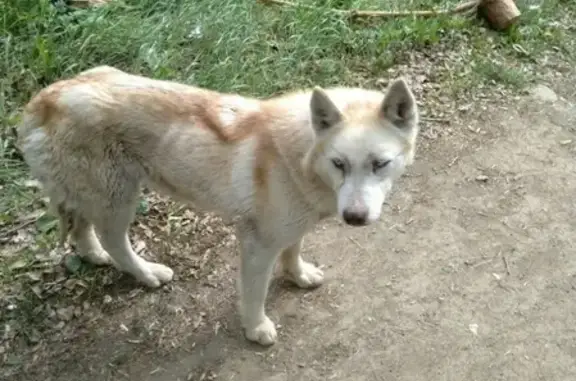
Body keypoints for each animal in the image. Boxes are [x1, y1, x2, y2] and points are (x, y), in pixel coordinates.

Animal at [18, 65, 418, 344]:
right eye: (339, 163)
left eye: (380, 164)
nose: (354, 217)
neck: (300, 156)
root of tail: (42, 101)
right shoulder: (258, 244)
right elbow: (255, 294)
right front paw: (256, 328)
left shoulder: (291, 226)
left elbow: (293, 252)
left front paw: (299, 276)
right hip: (118, 200)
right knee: (115, 242)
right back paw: (146, 273)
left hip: (94, 196)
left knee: (83, 231)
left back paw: (94, 255)